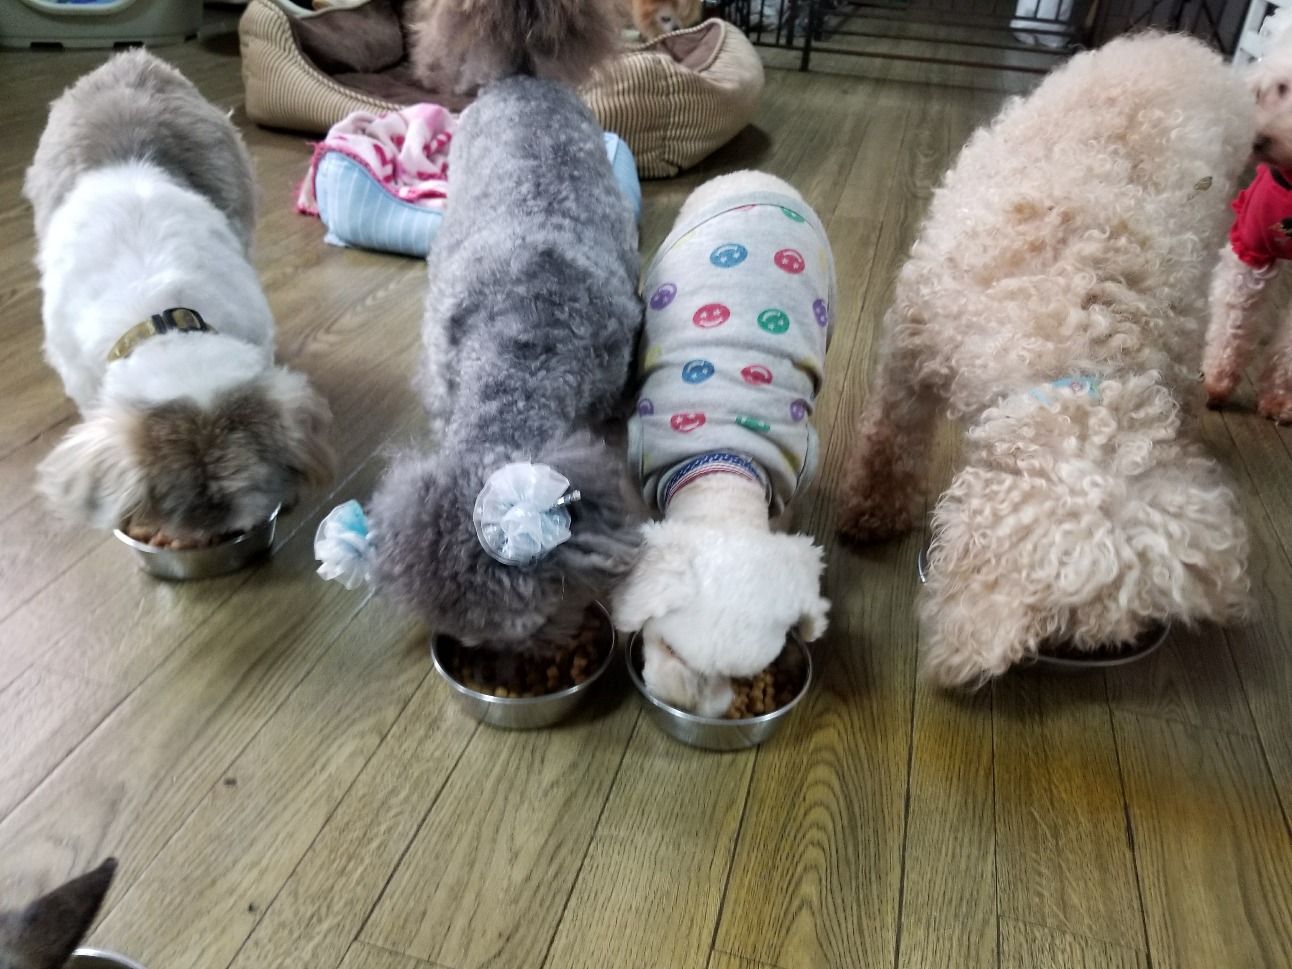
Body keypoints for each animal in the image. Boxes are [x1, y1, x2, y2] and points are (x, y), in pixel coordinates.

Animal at [612, 171, 832, 716]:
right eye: (668, 647)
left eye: (746, 677)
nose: (694, 708)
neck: (720, 470)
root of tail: (756, 175)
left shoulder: (793, 476)